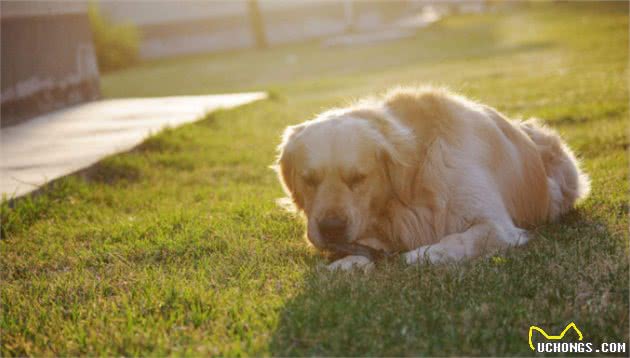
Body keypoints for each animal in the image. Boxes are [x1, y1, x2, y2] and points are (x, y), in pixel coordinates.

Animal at [274, 87, 592, 272]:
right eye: (309, 180)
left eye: (358, 178)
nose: (331, 229)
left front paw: (419, 255)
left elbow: (458, 240)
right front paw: (347, 262)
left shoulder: (496, 227)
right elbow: (367, 247)